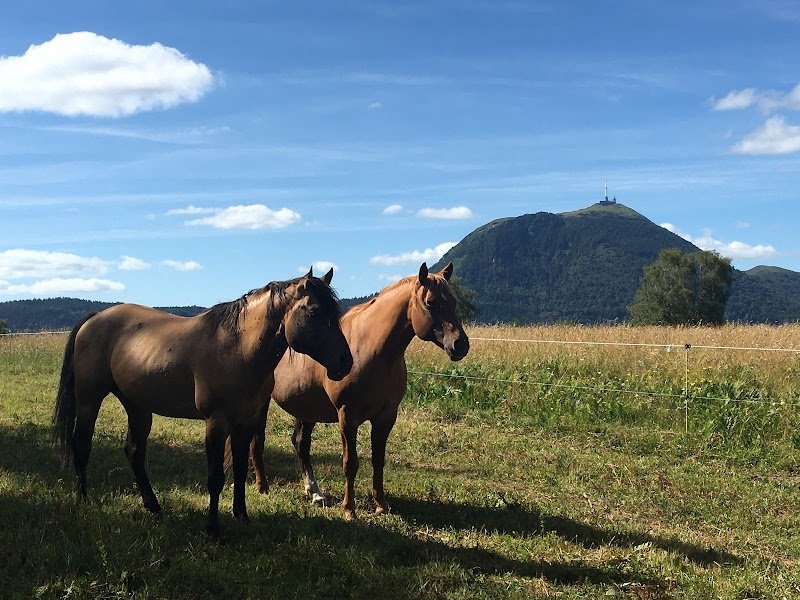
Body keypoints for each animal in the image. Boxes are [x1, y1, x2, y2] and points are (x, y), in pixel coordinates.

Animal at [53, 268, 353, 539]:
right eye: (314, 312)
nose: (345, 362)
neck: (237, 349)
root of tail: (95, 318)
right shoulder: (217, 422)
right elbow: (215, 477)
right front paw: (212, 529)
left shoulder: (246, 422)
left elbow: (240, 470)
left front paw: (241, 516)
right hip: (89, 399)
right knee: (81, 445)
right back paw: (84, 500)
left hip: (138, 407)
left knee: (134, 452)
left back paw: (153, 506)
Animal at [249, 262, 469, 519]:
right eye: (431, 302)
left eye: (453, 301)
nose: (460, 345)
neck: (372, 349)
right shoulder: (348, 417)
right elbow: (350, 463)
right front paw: (349, 509)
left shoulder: (386, 417)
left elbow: (378, 460)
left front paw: (381, 504)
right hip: (263, 402)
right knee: (258, 440)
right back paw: (262, 486)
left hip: (306, 407)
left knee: (300, 443)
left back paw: (314, 493)